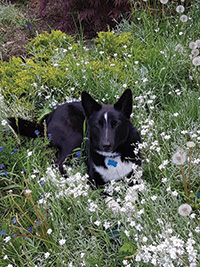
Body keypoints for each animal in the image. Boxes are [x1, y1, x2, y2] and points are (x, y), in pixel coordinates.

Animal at [9, 90, 141, 188]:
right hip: (76, 139)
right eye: (98, 124)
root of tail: (49, 116)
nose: (106, 145)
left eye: (116, 124)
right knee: (59, 165)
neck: (113, 157)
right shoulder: (94, 180)